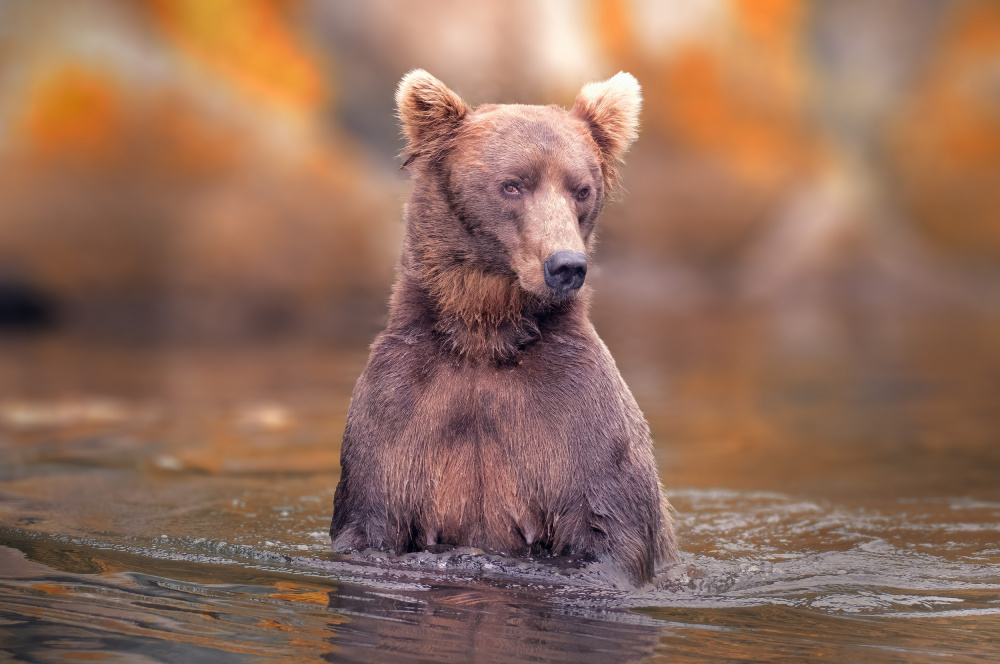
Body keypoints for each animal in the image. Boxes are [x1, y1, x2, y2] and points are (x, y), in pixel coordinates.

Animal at [332, 68, 676, 588]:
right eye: (513, 185)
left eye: (581, 188)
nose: (566, 265)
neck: (485, 336)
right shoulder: (400, 406)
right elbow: (370, 514)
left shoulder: (575, 411)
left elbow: (608, 524)